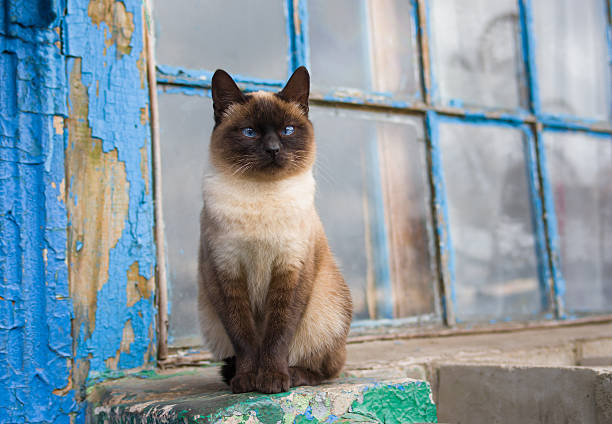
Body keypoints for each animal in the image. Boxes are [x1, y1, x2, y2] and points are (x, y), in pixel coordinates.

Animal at [198, 66, 354, 394]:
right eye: (250, 133)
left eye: (288, 131)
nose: (273, 149)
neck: (262, 194)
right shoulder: (225, 271)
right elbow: (243, 337)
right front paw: (247, 382)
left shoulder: (291, 268)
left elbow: (278, 333)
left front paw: (272, 380)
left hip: (326, 312)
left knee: (328, 368)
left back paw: (294, 376)